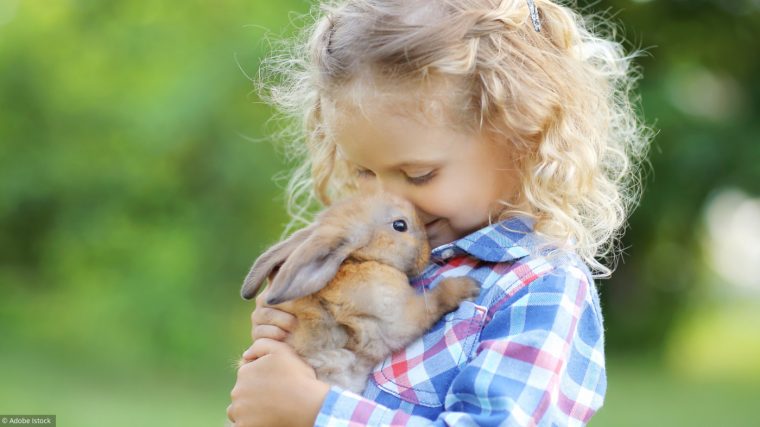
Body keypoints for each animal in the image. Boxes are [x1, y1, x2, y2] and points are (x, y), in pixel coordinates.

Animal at [240, 192, 478, 392]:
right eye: (400, 225)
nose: (427, 250)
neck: (360, 259)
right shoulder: (397, 318)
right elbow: (435, 299)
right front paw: (467, 286)